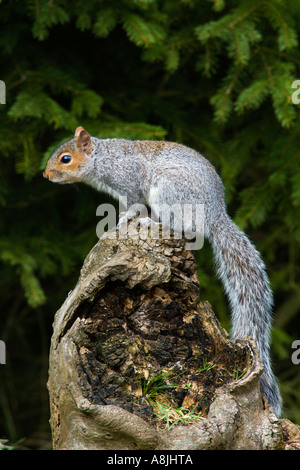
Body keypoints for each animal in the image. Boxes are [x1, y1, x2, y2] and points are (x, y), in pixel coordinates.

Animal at [44, 125, 282, 414]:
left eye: (65, 159)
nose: (46, 175)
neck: (105, 158)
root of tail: (215, 215)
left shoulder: (130, 181)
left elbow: (134, 205)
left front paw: (123, 219)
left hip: (170, 193)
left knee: (185, 227)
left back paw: (153, 222)